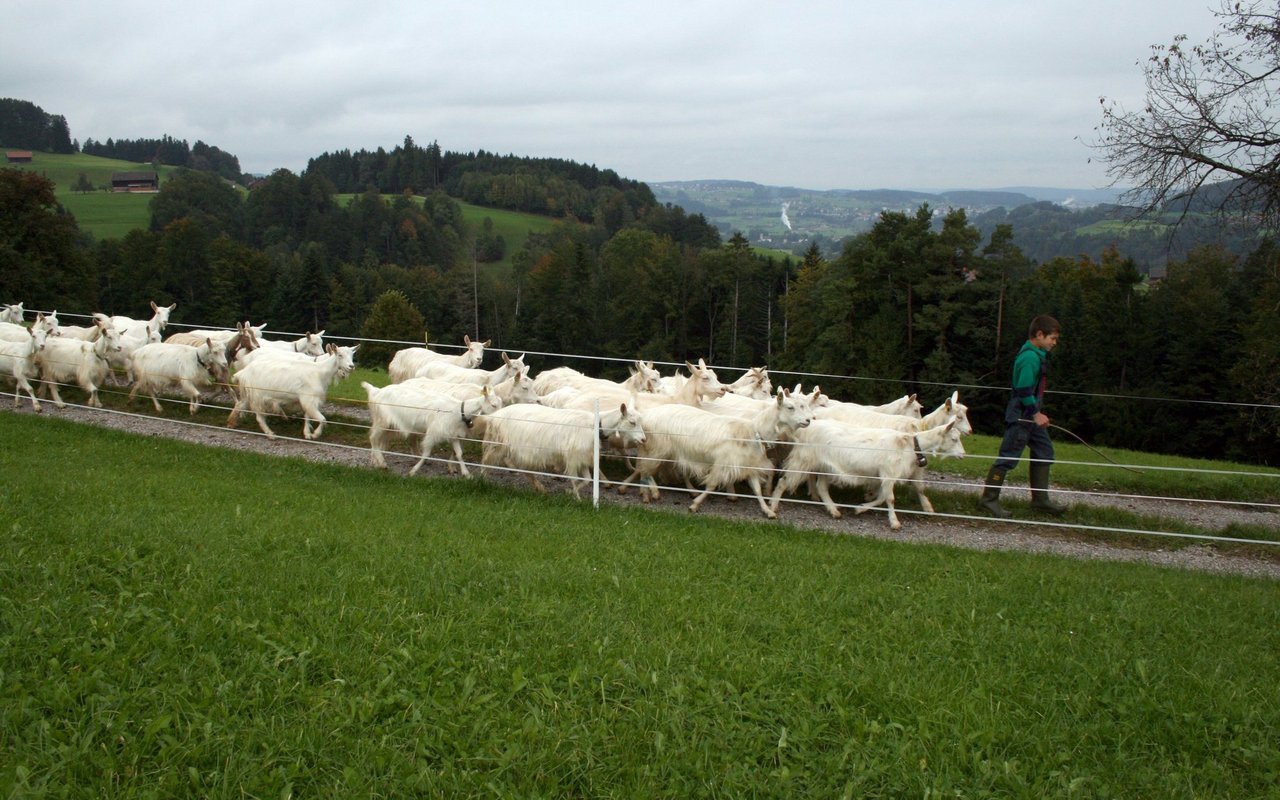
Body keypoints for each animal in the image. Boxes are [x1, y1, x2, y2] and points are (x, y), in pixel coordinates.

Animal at [227, 345, 358, 440]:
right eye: (340, 355)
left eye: (352, 355)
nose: (351, 366)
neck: (319, 371)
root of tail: (244, 372)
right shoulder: (309, 399)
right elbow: (322, 419)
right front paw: (315, 434)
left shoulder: (308, 400)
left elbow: (307, 416)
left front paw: (307, 434)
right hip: (257, 396)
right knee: (259, 417)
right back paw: (270, 434)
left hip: (248, 394)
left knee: (240, 404)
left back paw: (231, 423)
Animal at [366, 381, 504, 473]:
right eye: (493, 405)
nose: (502, 417)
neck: (458, 410)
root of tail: (376, 391)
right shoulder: (433, 433)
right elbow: (427, 453)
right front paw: (414, 471)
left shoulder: (453, 434)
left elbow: (459, 454)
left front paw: (466, 473)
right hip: (381, 420)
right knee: (373, 439)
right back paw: (382, 463)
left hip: (389, 426)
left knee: (380, 441)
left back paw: (377, 462)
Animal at [481, 399, 645, 499]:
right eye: (632, 422)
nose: (643, 439)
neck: (594, 424)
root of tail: (494, 415)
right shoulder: (574, 457)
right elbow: (574, 479)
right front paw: (575, 496)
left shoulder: (583, 458)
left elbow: (587, 480)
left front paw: (571, 493)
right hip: (499, 444)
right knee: (486, 461)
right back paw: (482, 481)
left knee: (523, 468)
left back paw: (539, 488)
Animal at [762, 414, 962, 527]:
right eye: (953, 439)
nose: (962, 455)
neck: (910, 445)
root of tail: (805, 428)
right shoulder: (888, 473)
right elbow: (889, 498)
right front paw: (894, 522)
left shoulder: (885, 476)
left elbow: (885, 497)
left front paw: (860, 509)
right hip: (803, 460)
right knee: (784, 481)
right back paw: (773, 505)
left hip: (827, 467)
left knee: (822, 487)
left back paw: (834, 510)